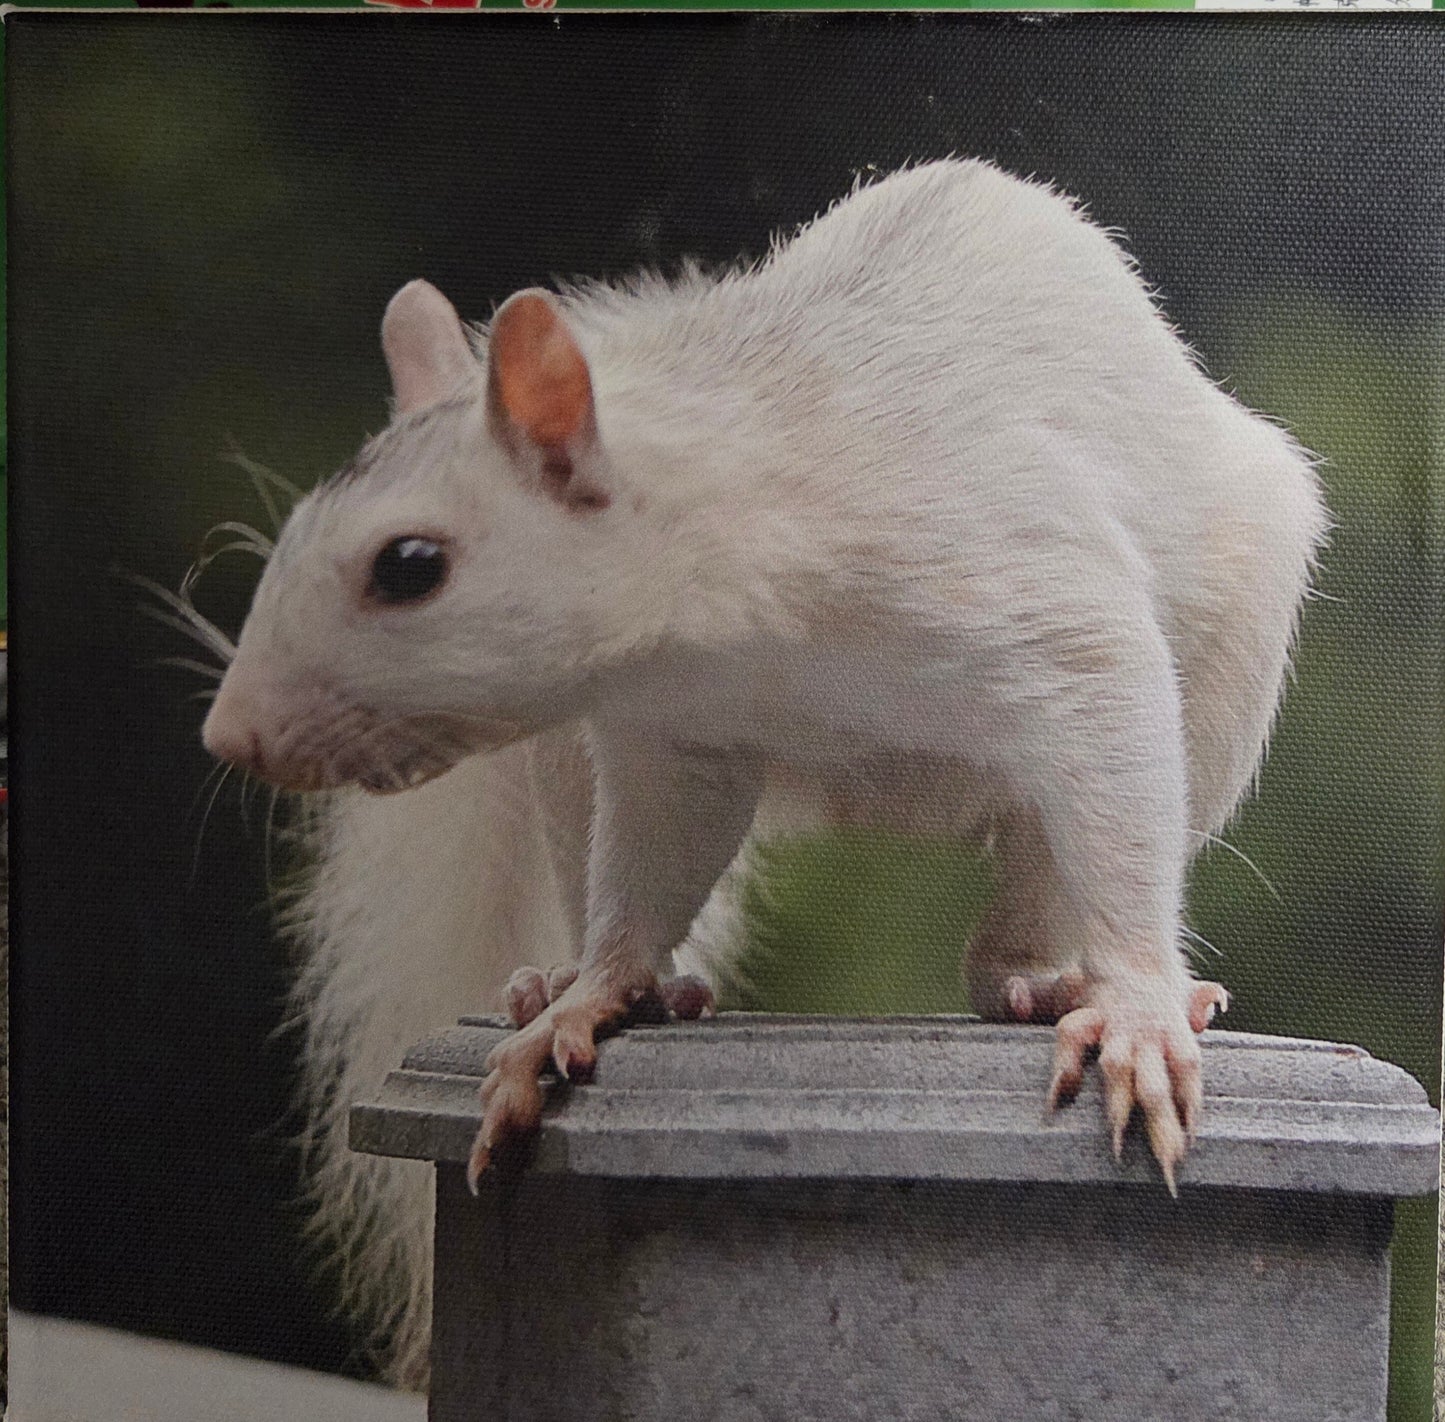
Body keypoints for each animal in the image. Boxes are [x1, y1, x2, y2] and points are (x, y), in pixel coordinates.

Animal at [199, 158, 1327, 1386]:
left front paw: (1134, 1012)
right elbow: (645, 879)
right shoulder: (672, 743)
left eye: (409, 566)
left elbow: (1115, 768)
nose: (230, 739)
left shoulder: (1049, 613)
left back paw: (1044, 980)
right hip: (563, 766)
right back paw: (607, 982)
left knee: (1031, 889)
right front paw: (586, 1001)